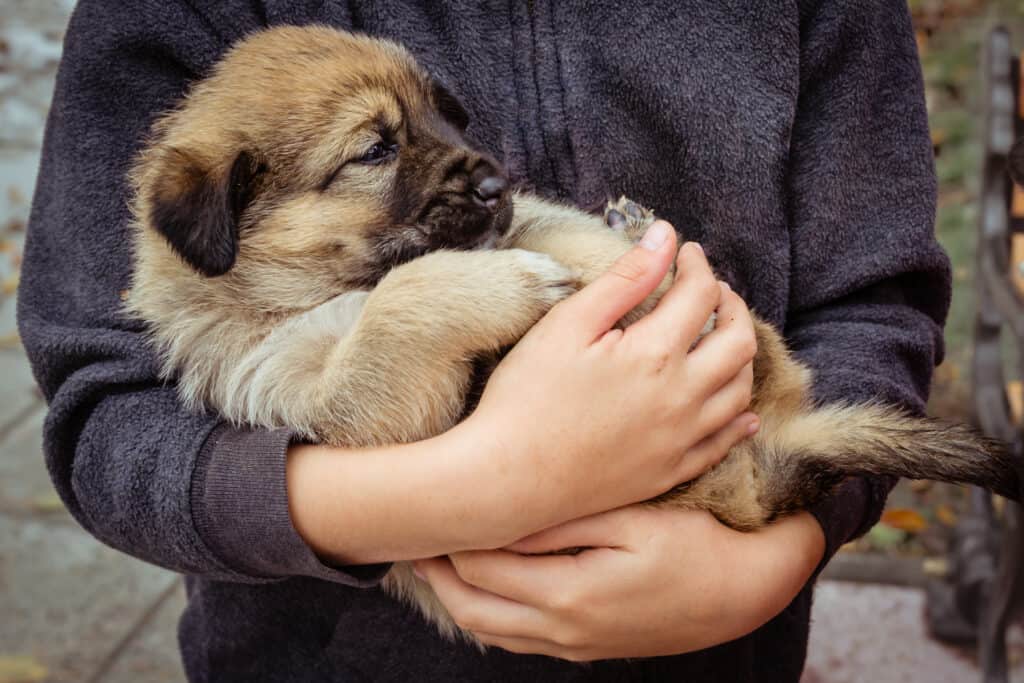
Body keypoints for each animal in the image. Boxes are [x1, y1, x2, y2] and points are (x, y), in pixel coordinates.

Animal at [123, 26, 1019, 643]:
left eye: (443, 118)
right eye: (375, 148)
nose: (495, 180)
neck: (320, 289)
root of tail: (763, 472)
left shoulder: (520, 225)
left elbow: (545, 231)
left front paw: (608, 262)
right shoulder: (338, 402)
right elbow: (395, 310)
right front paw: (509, 284)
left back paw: (651, 245)